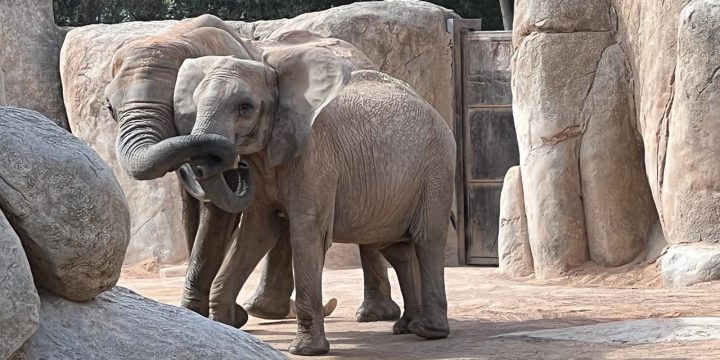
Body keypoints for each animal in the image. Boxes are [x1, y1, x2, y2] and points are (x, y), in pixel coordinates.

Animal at [104, 15, 402, 326]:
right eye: (110, 108)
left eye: (172, 106)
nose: (243, 166)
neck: (178, 35)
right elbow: (193, 211)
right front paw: (209, 315)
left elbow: (219, 213)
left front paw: (212, 316)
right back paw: (265, 310)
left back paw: (370, 314)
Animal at [172, 47, 456, 354]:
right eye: (195, 102)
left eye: (245, 107)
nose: (241, 167)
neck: (276, 75)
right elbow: (256, 234)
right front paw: (227, 329)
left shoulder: (315, 159)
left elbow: (306, 234)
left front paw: (306, 350)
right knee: (395, 247)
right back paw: (406, 327)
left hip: (436, 170)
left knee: (427, 238)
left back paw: (429, 331)